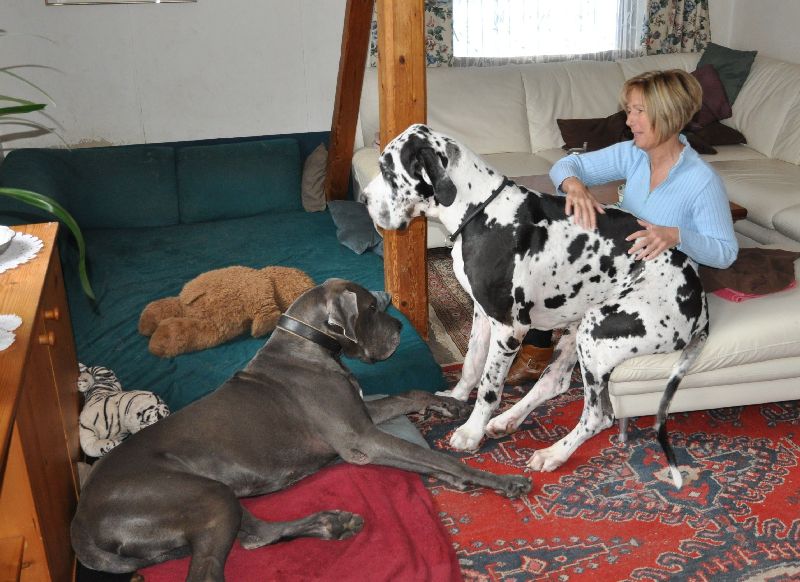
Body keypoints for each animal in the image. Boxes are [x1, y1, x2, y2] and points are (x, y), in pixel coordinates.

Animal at [71, 278, 531, 581]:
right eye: (371, 308)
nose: (401, 327)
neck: (308, 346)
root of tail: (81, 519)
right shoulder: (362, 440)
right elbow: (431, 455)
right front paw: (495, 479)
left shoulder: (362, 415)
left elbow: (409, 393)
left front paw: (450, 403)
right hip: (201, 494)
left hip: (218, 498)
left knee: (255, 536)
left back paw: (332, 524)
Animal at [364, 124, 708, 487]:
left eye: (387, 170)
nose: (364, 198)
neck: (481, 211)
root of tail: (700, 303)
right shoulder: (482, 313)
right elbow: (472, 365)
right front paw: (455, 399)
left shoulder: (508, 328)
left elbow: (489, 386)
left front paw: (471, 432)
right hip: (578, 328)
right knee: (554, 383)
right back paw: (508, 420)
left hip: (597, 332)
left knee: (598, 416)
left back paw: (553, 453)